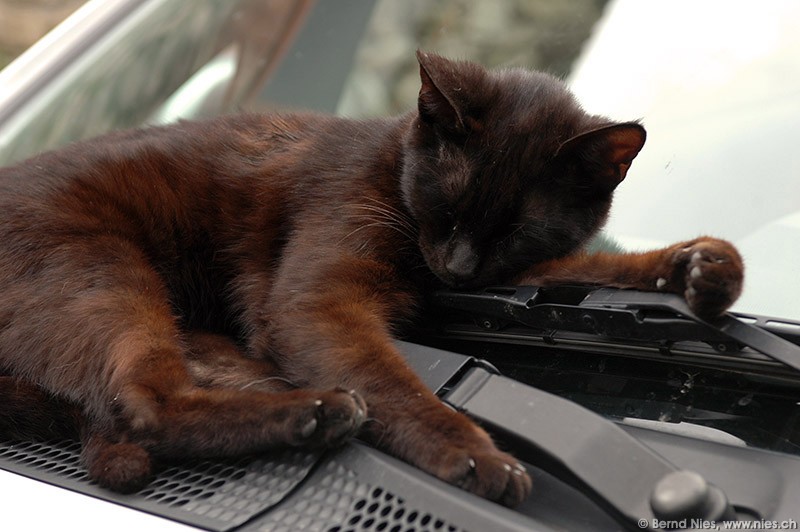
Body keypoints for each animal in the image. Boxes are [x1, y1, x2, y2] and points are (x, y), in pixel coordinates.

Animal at [0, 51, 744, 508]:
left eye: (515, 231)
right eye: (449, 209)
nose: (460, 267)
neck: (391, 166)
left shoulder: (497, 277)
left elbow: (580, 271)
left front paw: (697, 268)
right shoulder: (320, 298)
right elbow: (397, 383)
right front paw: (471, 453)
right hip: (101, 272)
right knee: (141, 404)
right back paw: (313, 410)